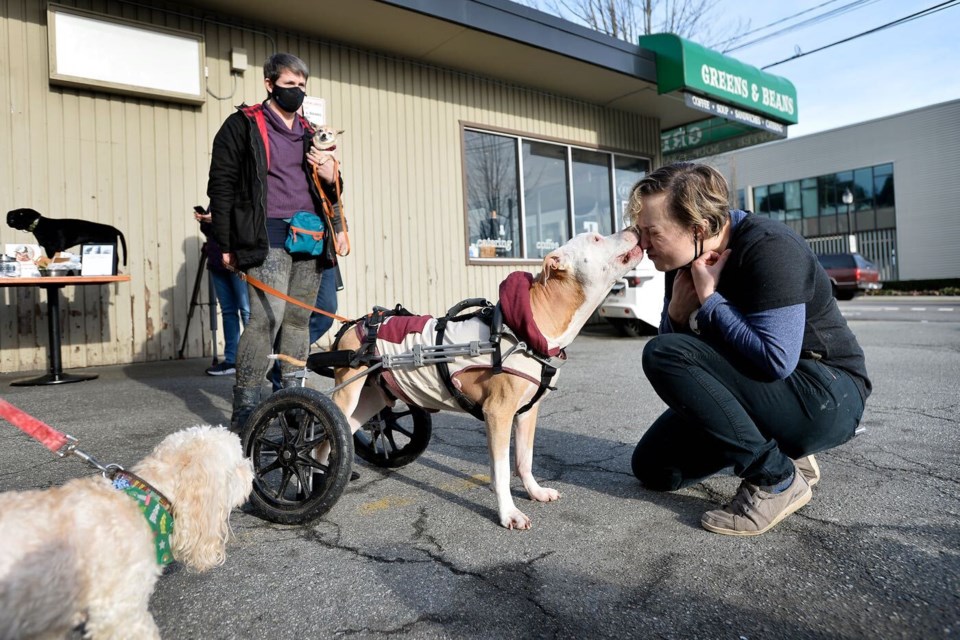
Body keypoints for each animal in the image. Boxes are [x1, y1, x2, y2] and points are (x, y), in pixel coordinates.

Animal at [332, 230, 644, 528]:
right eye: (596, 238)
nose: (633, 227)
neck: (525, 328)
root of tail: (356, 323)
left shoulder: (526, 413)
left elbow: (524, 459)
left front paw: (534, 491)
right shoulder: (498, 413)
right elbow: (502, 469)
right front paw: (508, 513)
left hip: (372, 398)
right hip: (347, 393)